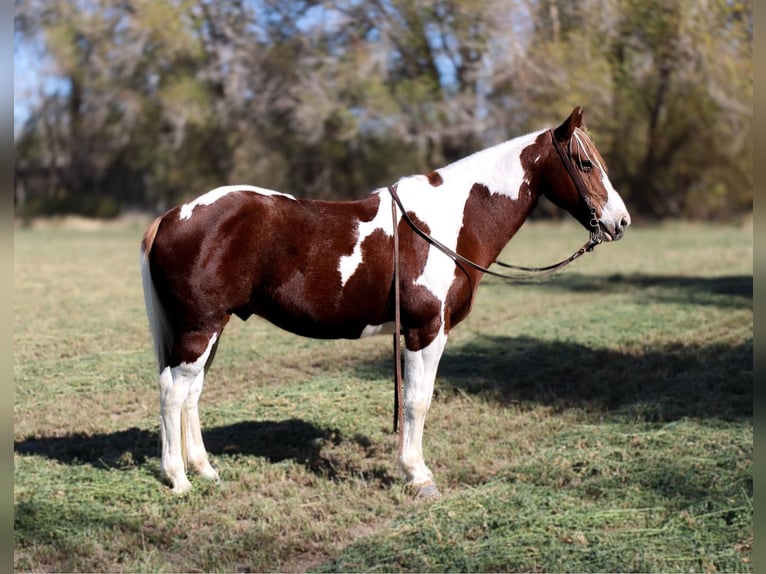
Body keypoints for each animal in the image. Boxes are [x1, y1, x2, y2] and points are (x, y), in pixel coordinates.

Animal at [140, 107, 630, 497]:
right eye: (585, 162)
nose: (620, 221)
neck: (446, 222)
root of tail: (171, 216)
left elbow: (419, 399)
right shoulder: (425, 330)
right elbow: (417, 401)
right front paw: (418, 475)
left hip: (209, 328)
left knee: (190, 393)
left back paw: (204, 470)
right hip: (200, 328)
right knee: (172, 392)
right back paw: (178, 479)